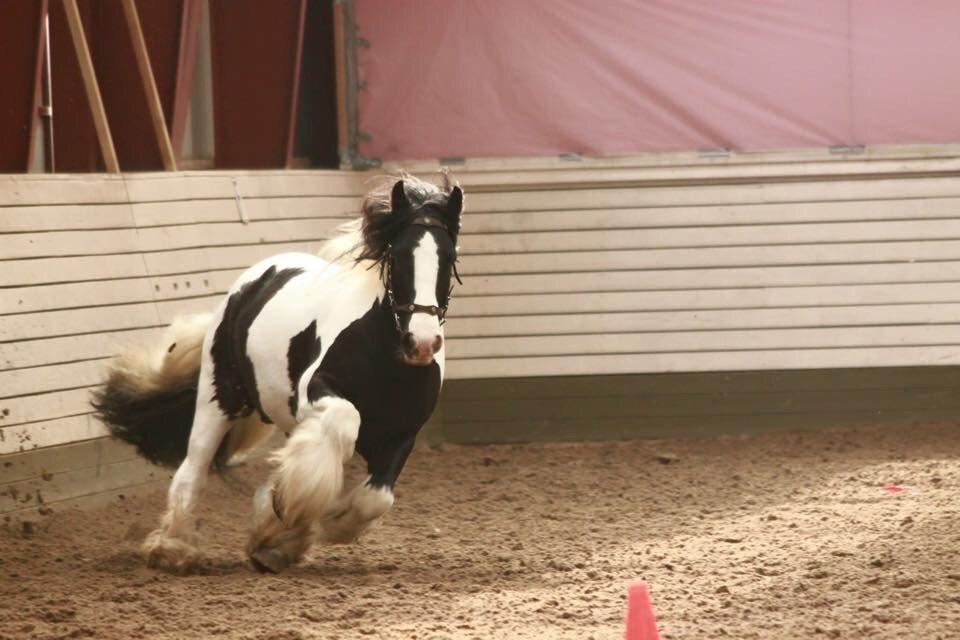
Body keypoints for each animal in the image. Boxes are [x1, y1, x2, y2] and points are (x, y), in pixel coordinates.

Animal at [94, 175, 464, 576]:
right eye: (397, 257)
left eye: (450, 258)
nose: (422, 343)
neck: (384, 360)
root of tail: (250, 284)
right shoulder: (313, 395)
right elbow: (345, 419)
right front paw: (290, 513)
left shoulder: (401, 435)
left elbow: (374, 499)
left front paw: (289, 527)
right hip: (218, 400)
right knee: (191, 470)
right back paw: (172, 549)